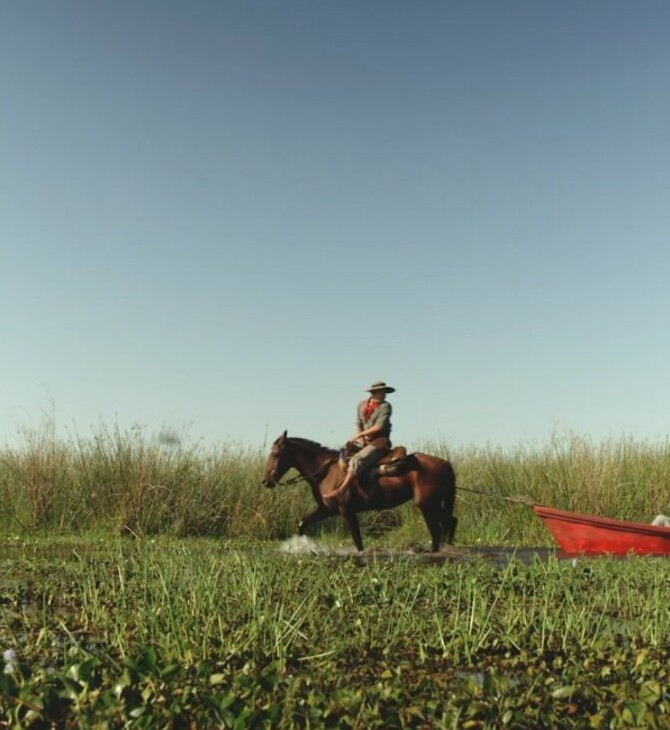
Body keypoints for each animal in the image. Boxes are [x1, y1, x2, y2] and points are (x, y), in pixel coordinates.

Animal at [262, 430, 456, 548]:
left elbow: (357, 539)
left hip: (427, 505)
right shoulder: (327, 509)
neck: (325, 472)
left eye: (276, 453)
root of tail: (444, 463)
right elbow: (303, 523)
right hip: (431, 505)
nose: (265, 481)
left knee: (442, 527)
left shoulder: (346, 510)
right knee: (446, 525)